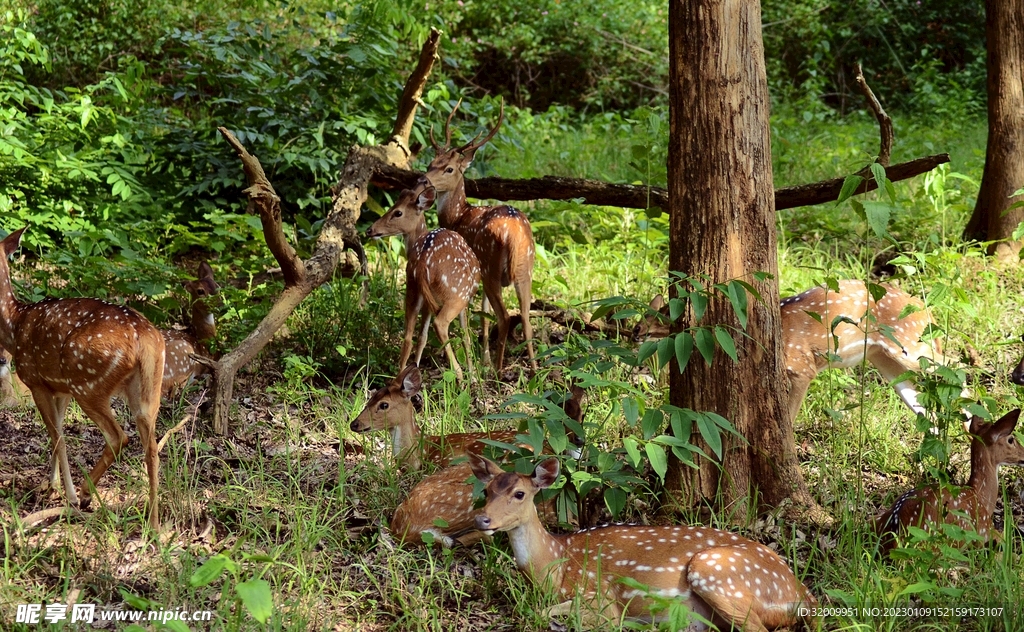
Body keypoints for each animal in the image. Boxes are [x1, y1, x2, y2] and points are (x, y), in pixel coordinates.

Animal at [0, 228, 165, 528]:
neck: (13, 326)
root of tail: (144, 337)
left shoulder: (37, 381)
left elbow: (57, 436)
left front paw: (68, 495)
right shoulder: (60, 388)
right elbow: (58, 430)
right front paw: (50, 485)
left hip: (88, 383)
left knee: (118, 437)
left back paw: (86, 492)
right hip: (148, 389)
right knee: (152, 446)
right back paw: (155, 523)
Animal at [367, 184, 480, 383]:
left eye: (397, 212)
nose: (370, 230)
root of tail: (422, 261)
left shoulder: (427, 299)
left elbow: (422, 336)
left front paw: (416, 368)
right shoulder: (464, 300)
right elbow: (465, 335)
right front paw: (473, 375)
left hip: (412, 288)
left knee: (408, 335)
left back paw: (399, 379)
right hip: (457, 293)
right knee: (441, 325)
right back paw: (459, 376)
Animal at [423, 100, 538, 373]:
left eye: (449, 168)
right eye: (430, 164)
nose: (423, 180)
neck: (459, 217)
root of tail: (514, 234)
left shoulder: (477, 271)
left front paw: (482, 361)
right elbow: (484, 316)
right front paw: (483, 357)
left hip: (491, 265)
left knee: (505, 316)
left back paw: (498, 370)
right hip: (525, 267)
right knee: (526, 318)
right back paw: (535, 370)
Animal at [470, 454, 818, 630]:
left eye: (519, 493)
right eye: (486, 491)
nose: (481, 519)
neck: (555, 565)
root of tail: (803, 593)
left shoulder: (600, 598)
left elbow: (547, 613)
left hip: (715, 571)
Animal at [636, 280, 957, 425]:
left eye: (652, 327)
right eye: (638, 324)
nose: (634, 334)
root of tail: (927, 310)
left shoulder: (803, 366)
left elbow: (788, 420)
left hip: (910, 345)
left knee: (955, 370)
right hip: (886, 360)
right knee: (925, 409)